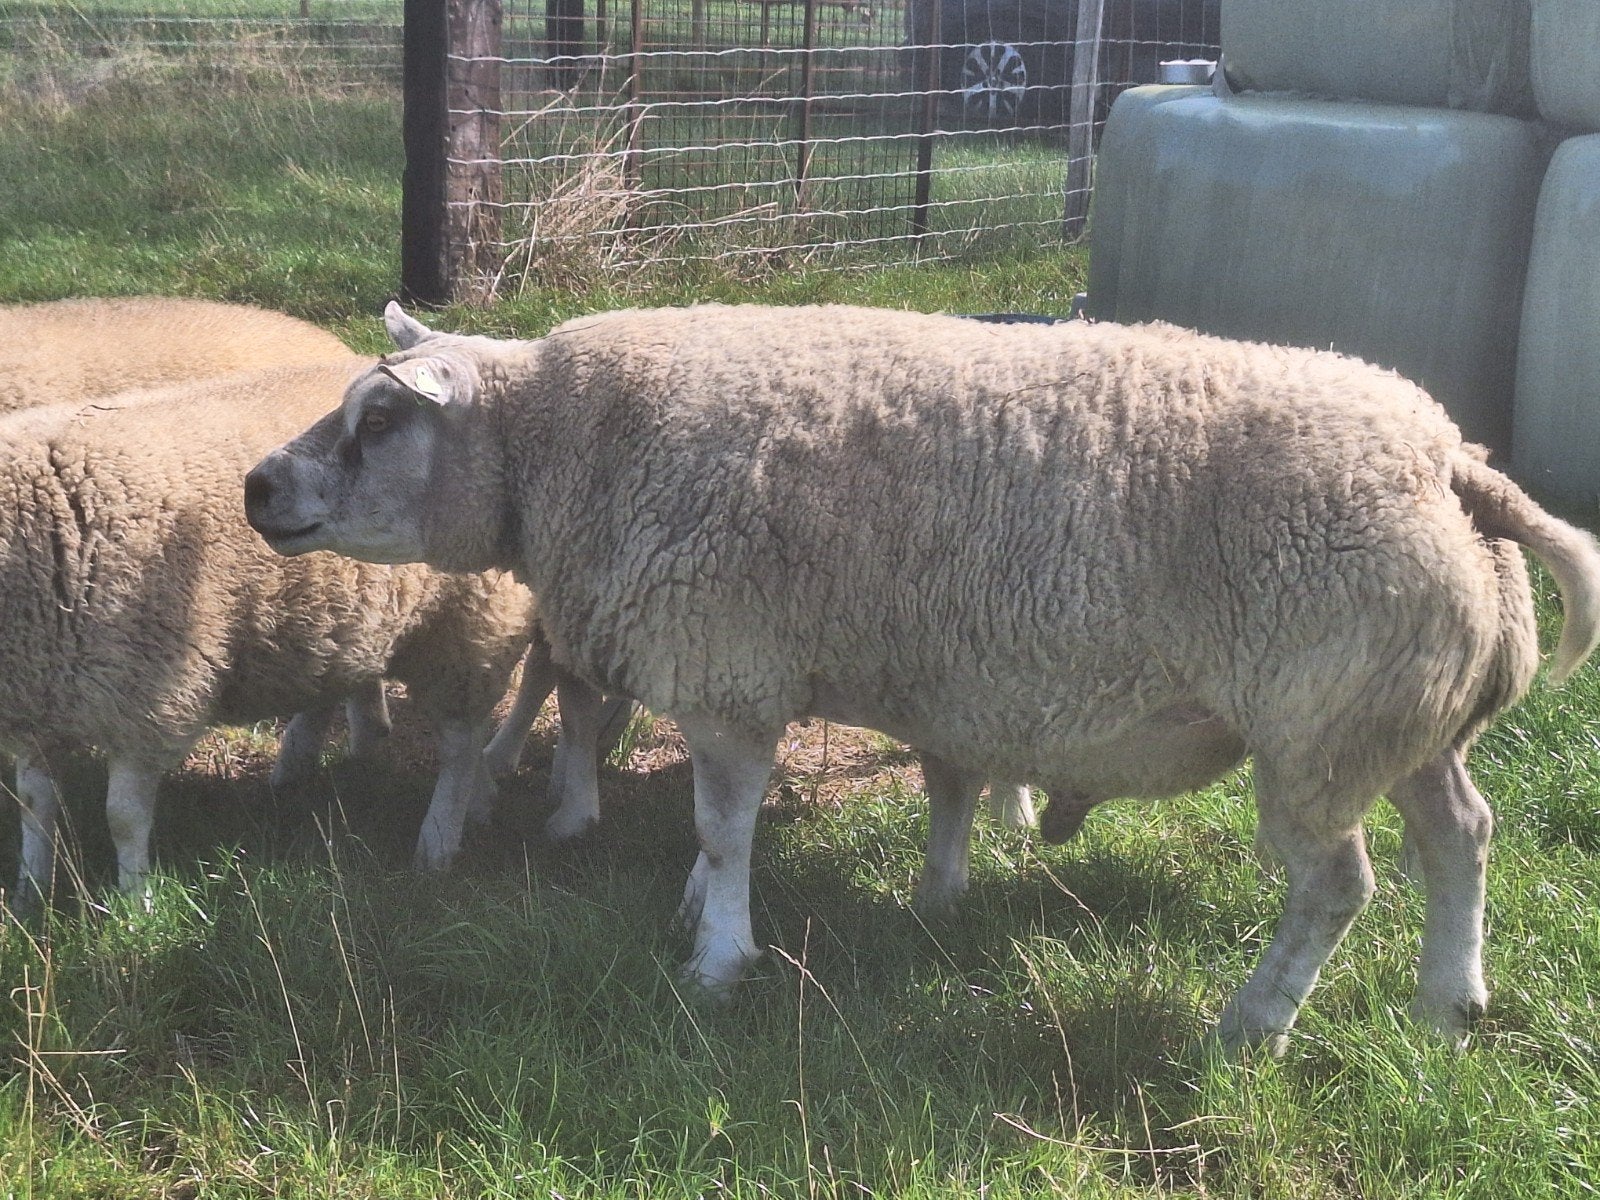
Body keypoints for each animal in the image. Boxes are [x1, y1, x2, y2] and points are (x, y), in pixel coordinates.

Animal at [3, 360, 534, 910]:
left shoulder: (146, 701)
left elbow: (123, 818)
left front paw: (135, 903)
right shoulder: (36, 703)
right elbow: (34, 806)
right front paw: (28, 896)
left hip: (469, 630)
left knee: (461, 744)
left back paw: (439, 842)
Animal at [244, 302, 1600, 1054]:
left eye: (379, 423)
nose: (257, 486)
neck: (569, 446)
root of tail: (1449, 459)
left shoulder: (728, 659)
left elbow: (725, 829)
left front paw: (717, 962)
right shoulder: (749, 670)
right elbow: (722, 825)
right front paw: (698, 914)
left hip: (1320, 719)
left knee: (1335, 883)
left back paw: (1254, 1026)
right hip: (1403, 712)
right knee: (1462, 836)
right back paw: (1450, 1004)